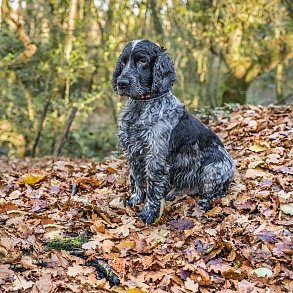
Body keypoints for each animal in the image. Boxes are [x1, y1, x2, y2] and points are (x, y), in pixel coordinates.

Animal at [110, 39, 234, 224]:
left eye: (142, 60)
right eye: (123, 62)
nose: (121, 83)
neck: (141, 107)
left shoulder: (155, 157)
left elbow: (153, 188)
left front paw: (148, 214)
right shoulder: (132, 150)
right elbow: (136, 179)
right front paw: (136, 199)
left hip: (214, 168)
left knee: (217, 192)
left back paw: (205, 201)